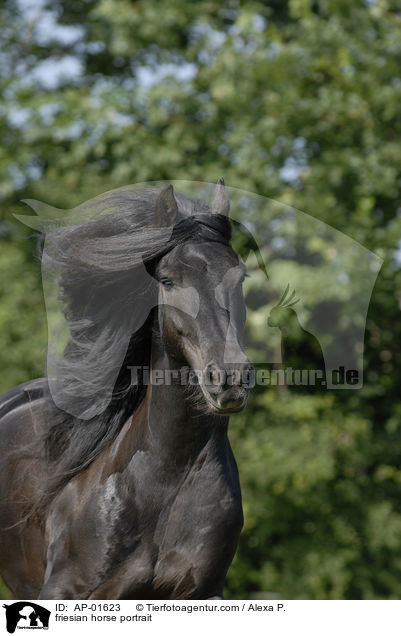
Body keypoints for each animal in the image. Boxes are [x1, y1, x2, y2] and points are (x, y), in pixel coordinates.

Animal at [0, 180, 253, 600]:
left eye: (240, 279)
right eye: (167, 281)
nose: (230, 378)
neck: (161, 482)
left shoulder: (202, 593)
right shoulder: (65, 591)